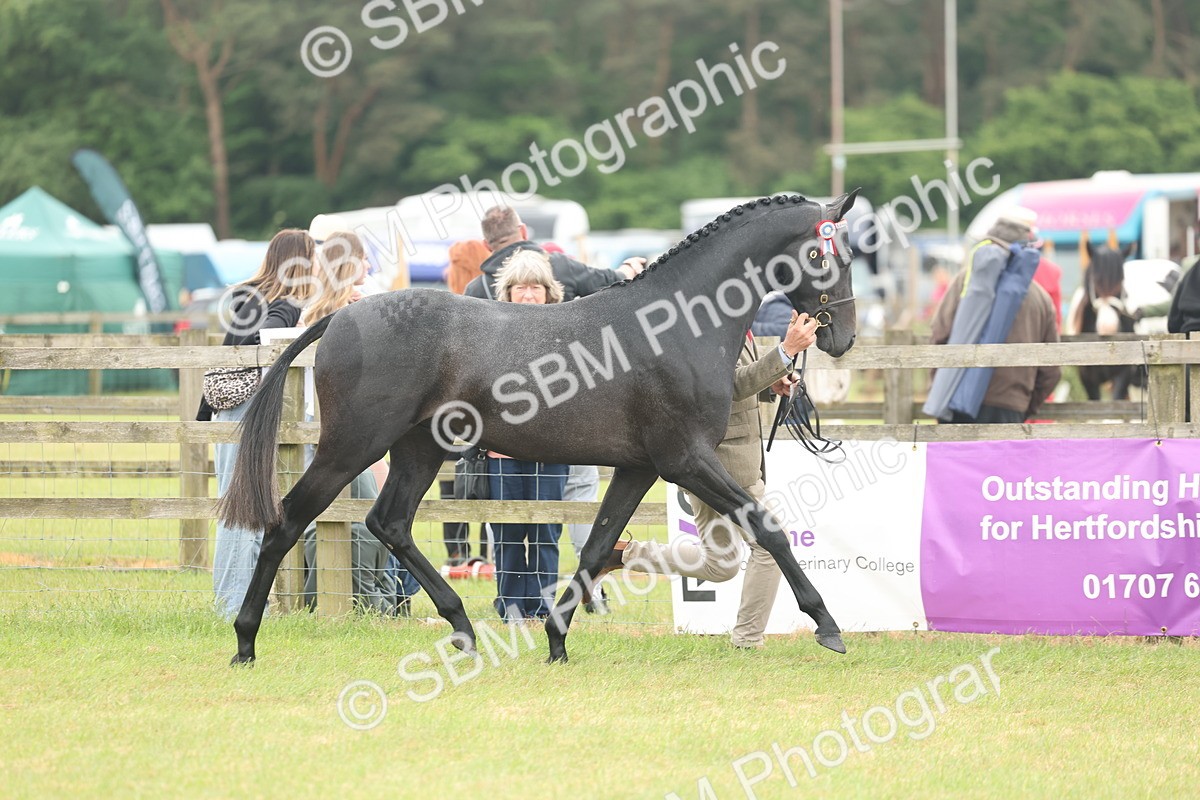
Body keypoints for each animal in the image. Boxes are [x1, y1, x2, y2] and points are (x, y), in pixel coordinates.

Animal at [217, 190, 860, 665]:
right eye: (827, 255)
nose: (841, 337)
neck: (675, 324)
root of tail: (341, 316)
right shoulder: (685, 459)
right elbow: (769, 528)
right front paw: (828, 625)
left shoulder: (638, 467)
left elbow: (597, 547)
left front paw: (556, 641)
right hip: (352, 446)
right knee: (288, 520)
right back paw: (245, 641)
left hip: (418, 449)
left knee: (390, 523)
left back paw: (462, 628)